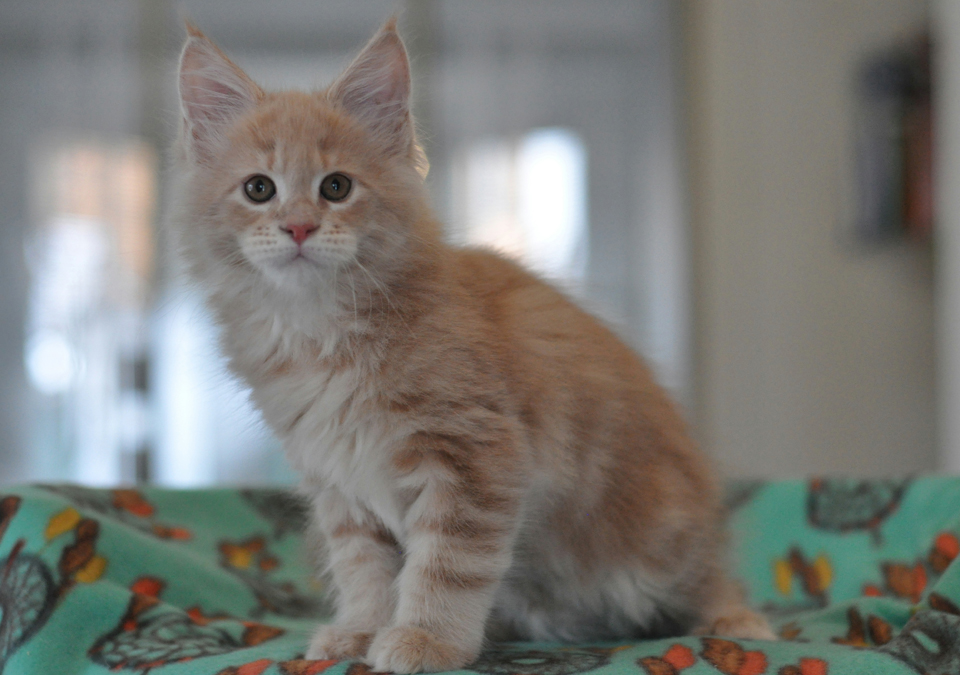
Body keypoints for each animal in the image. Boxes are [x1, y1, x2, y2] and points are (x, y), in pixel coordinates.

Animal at [171, 19, 772, 675]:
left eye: (336, 187)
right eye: (259, 189)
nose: (299, 227)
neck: (318, 331)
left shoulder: (475, 455)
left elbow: (446, 567)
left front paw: (424, 638)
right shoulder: (340, 486)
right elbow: (364, 570)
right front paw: (360, 630)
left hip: (657, 537)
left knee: (709, 578)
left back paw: (736, 621)